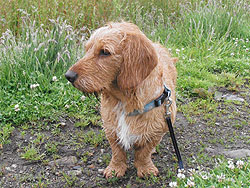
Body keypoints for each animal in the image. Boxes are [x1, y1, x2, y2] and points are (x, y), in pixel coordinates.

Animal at [64, 22, 178, 178]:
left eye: (105, 52)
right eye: (87, 49)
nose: (68, 76)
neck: (124, 101)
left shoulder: (159, 129)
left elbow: (144, 152)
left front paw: (145, 168)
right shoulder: (111, 129)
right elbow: (117, 152)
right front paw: (115, 168)